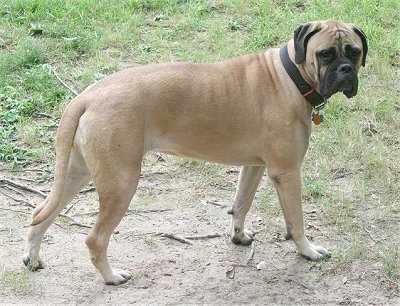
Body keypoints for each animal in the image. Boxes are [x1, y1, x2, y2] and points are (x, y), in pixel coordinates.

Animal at [21, 20, 368, 284]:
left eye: (354, 51)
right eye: (325, 54)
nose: (346, 69)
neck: (290, 76)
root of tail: (87, 96)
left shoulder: (253, 167)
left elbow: (241, 204)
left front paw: (238, 236)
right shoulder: (287, 172)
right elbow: (296, 220)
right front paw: (307, 250)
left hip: (75, 174)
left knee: (40, 214)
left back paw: (33, 259)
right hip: (121, 184)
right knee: (95, 239)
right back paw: (111, 277)